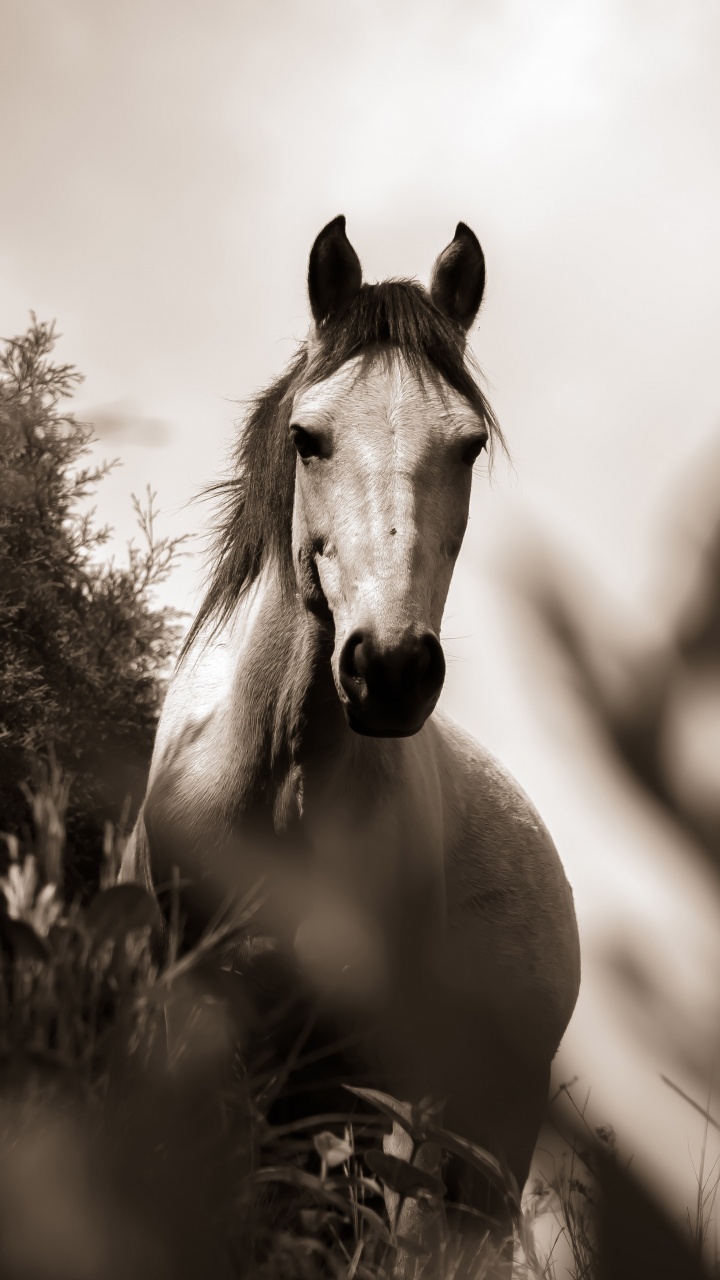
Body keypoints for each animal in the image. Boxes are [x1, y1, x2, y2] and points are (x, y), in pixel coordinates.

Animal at [122, 215, 579, 1274]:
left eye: (468, 444)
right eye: (309, 437)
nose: (391, 668)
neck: (276, 782)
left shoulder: (341, 1069)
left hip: (485, 1125)